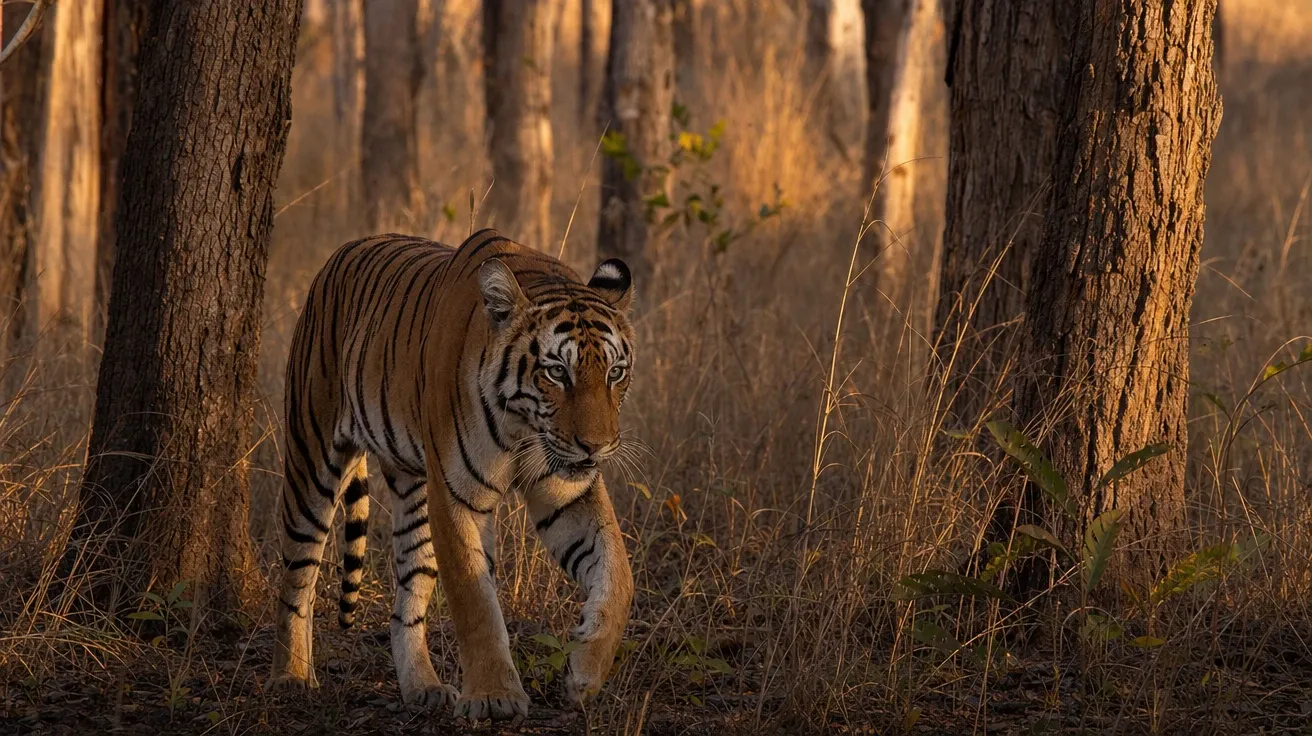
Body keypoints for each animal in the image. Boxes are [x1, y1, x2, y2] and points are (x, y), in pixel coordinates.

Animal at [268, 229, 636, 720]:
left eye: (615, 372)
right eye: (558, 372)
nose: (596, 446)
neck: (524, 427)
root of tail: (344, 250)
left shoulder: (567, 491)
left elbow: (618, 575)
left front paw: (585, 673)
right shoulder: (456, 493)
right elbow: (474, 596)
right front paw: (495, 696)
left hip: (415, 492)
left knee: (407, 598)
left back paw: (422, 687)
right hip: (312, 457)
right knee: (298, 576)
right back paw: (290, 676)